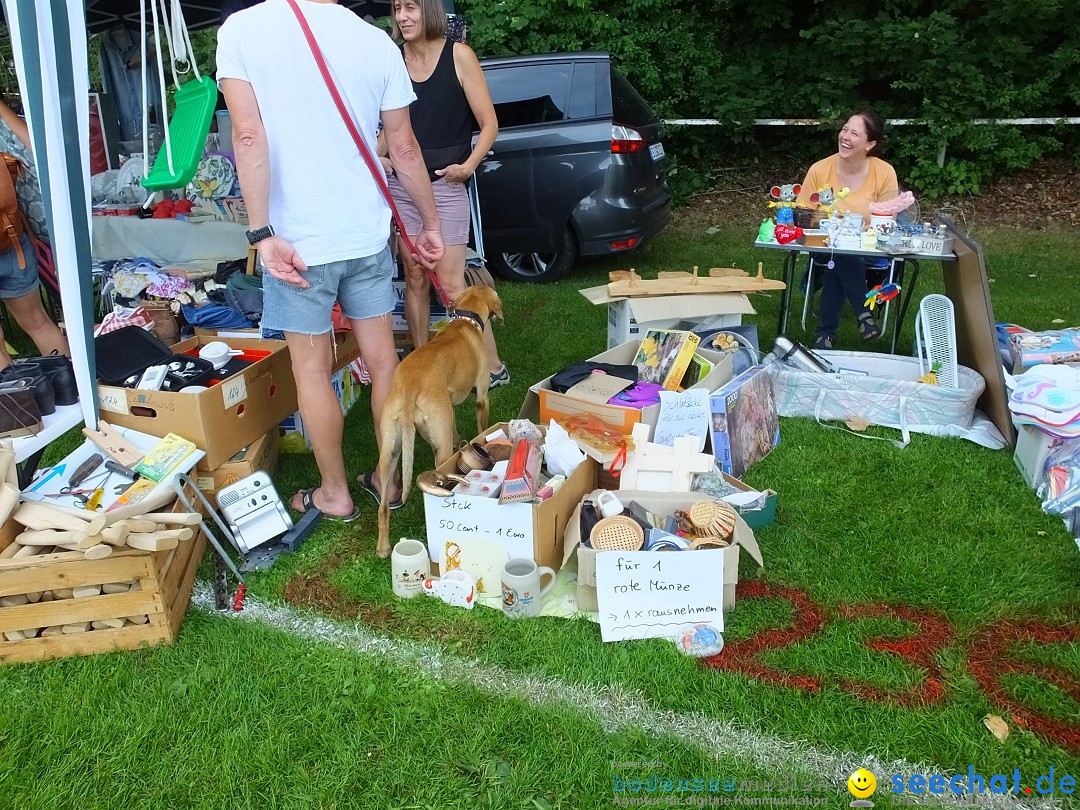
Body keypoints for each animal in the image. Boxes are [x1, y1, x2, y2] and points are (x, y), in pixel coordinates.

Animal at [375, 285, 501, 557]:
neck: (465, 320)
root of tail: (410, 385)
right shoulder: (482, 398)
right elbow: (483, 427)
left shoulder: (449, 409)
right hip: (438, 450)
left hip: (390, 453)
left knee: (382, 507)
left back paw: (383, 548)